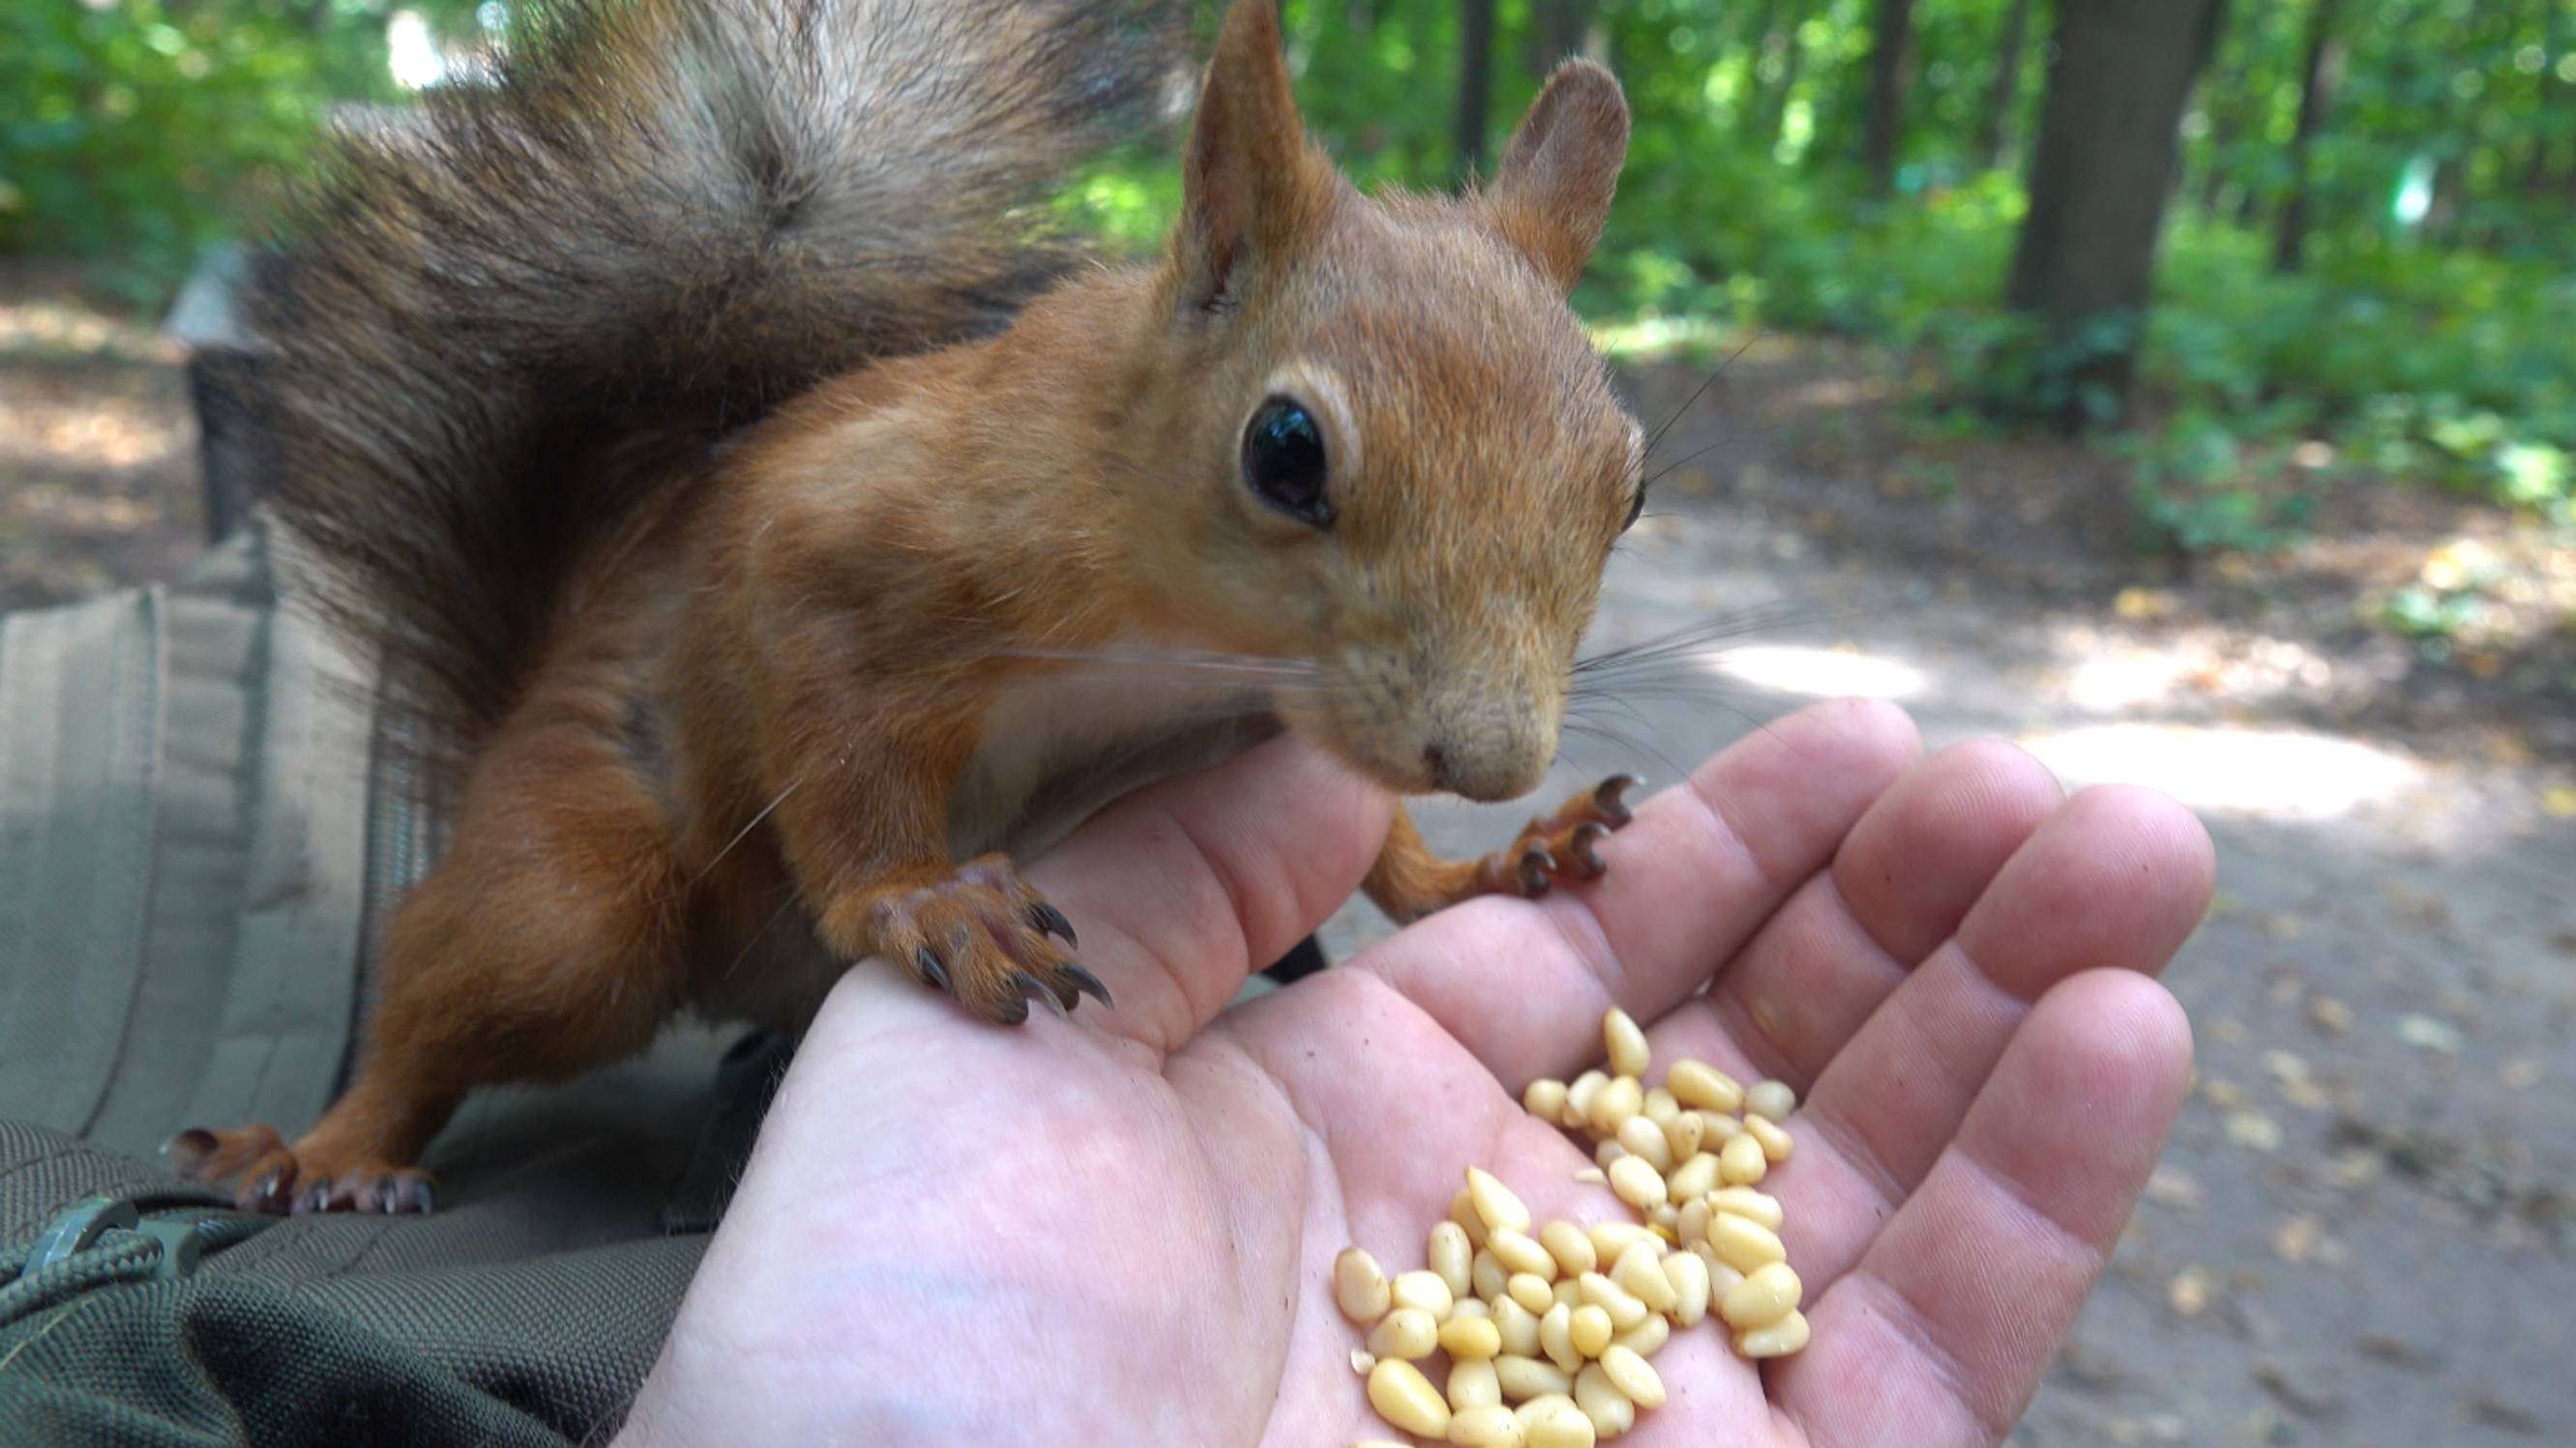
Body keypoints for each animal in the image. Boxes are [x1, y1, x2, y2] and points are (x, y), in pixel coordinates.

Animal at [171, 0, 1648, 1210]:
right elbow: (841, 760)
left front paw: (1489, 862)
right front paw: (923, 904)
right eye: (1285, 450)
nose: (1490, 762)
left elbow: (1379, 853)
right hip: (570, 897)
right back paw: (329, 1150)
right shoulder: (833, 550)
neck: (1187, 642)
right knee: (456, 989)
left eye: (1629, 488)